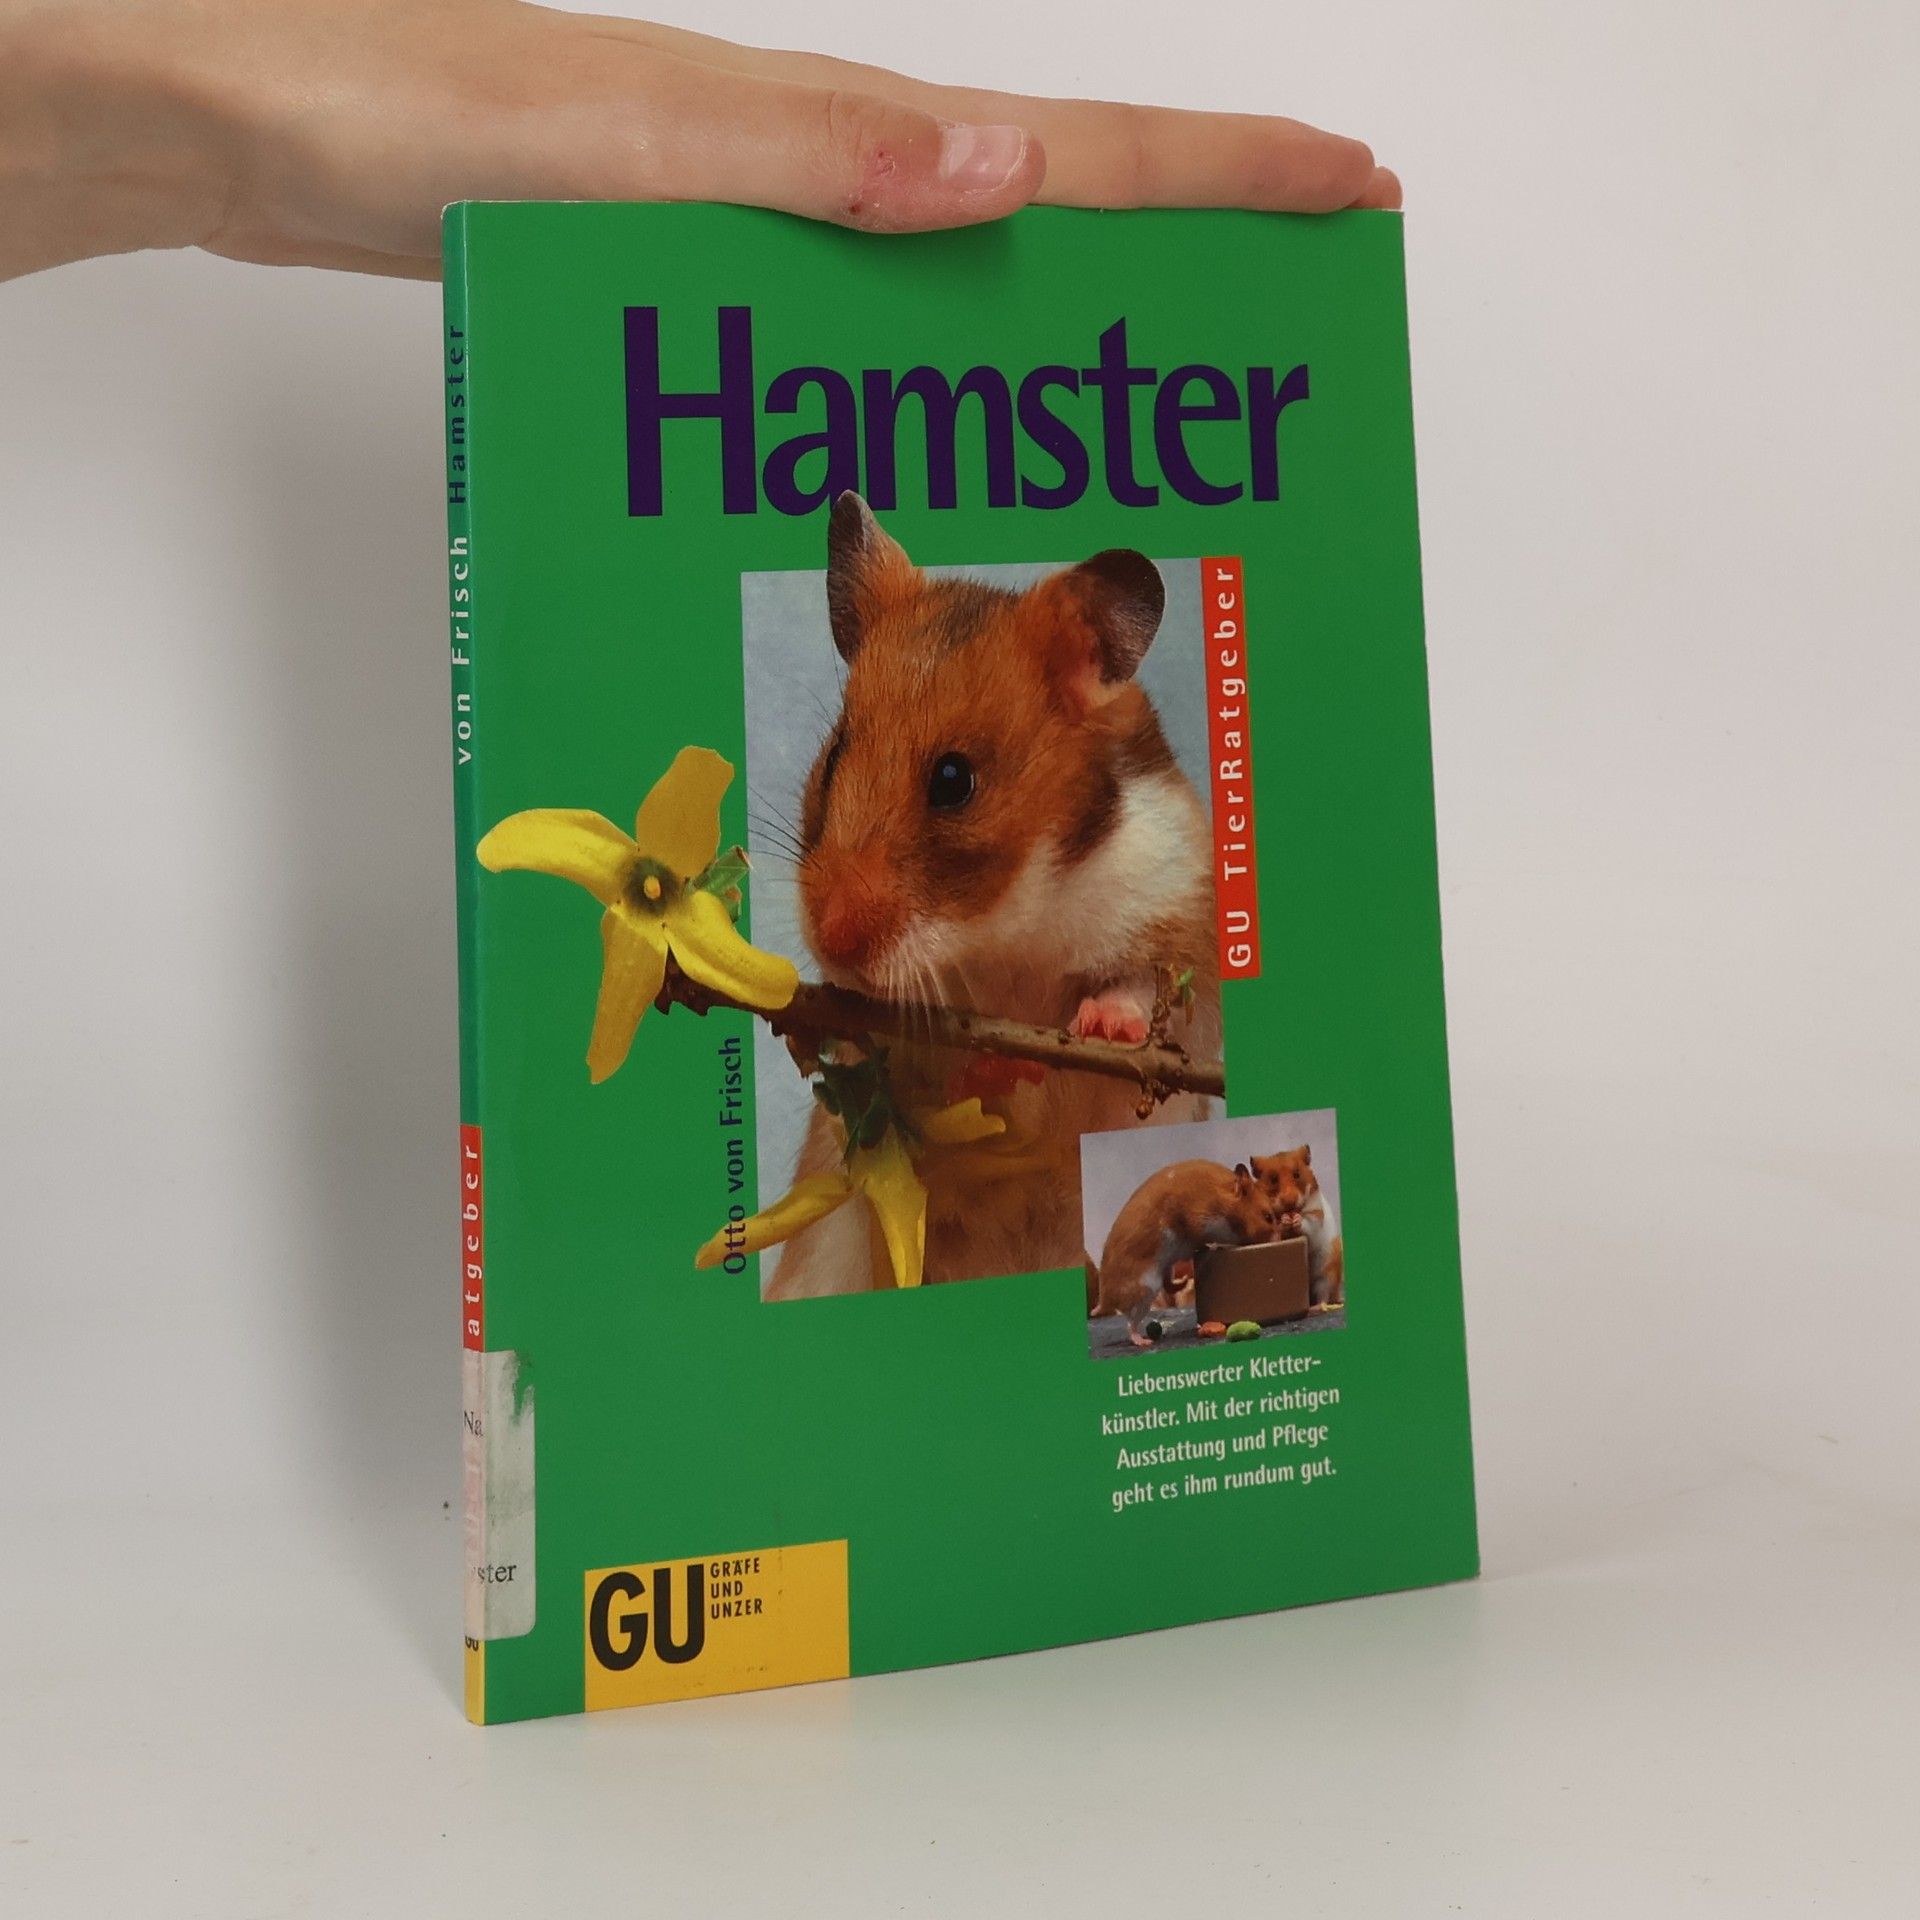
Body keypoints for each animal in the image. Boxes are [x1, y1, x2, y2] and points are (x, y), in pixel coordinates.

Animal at [764, 492, 1220, 1299]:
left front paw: (1100, 1028)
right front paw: (999, 1065)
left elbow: (1135, 995)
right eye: (837, 752)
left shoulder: (1169, 912)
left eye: (955, 780)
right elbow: (927, 1070)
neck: (1009, 925)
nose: (831, 941)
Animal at [1088, 1160, 1279, 1346]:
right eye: (1268, 1217)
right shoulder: (1197, 1222)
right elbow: (1203, 1242)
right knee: (1130, 1324)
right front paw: (1215, 1246)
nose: (1276, 1241)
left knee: (1168, 1285)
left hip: (1166, 1267)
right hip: (1144, 1291)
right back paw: (1144, 1341)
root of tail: (1104, 1300)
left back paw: (1184, 1281)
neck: (1223, 1199)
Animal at [1250, 1146, 1344, 1308]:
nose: (1290, 1201)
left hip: (1326, 1275)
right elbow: (1279, 1228)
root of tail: (1337, 1294)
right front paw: (1285, 1220)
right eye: (1273, 1179)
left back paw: (1317, 1307)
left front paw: (1297, 1220)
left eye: (1297, 1174)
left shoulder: (1316, 1215)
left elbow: (1309, 1225)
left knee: (1323, 1296)